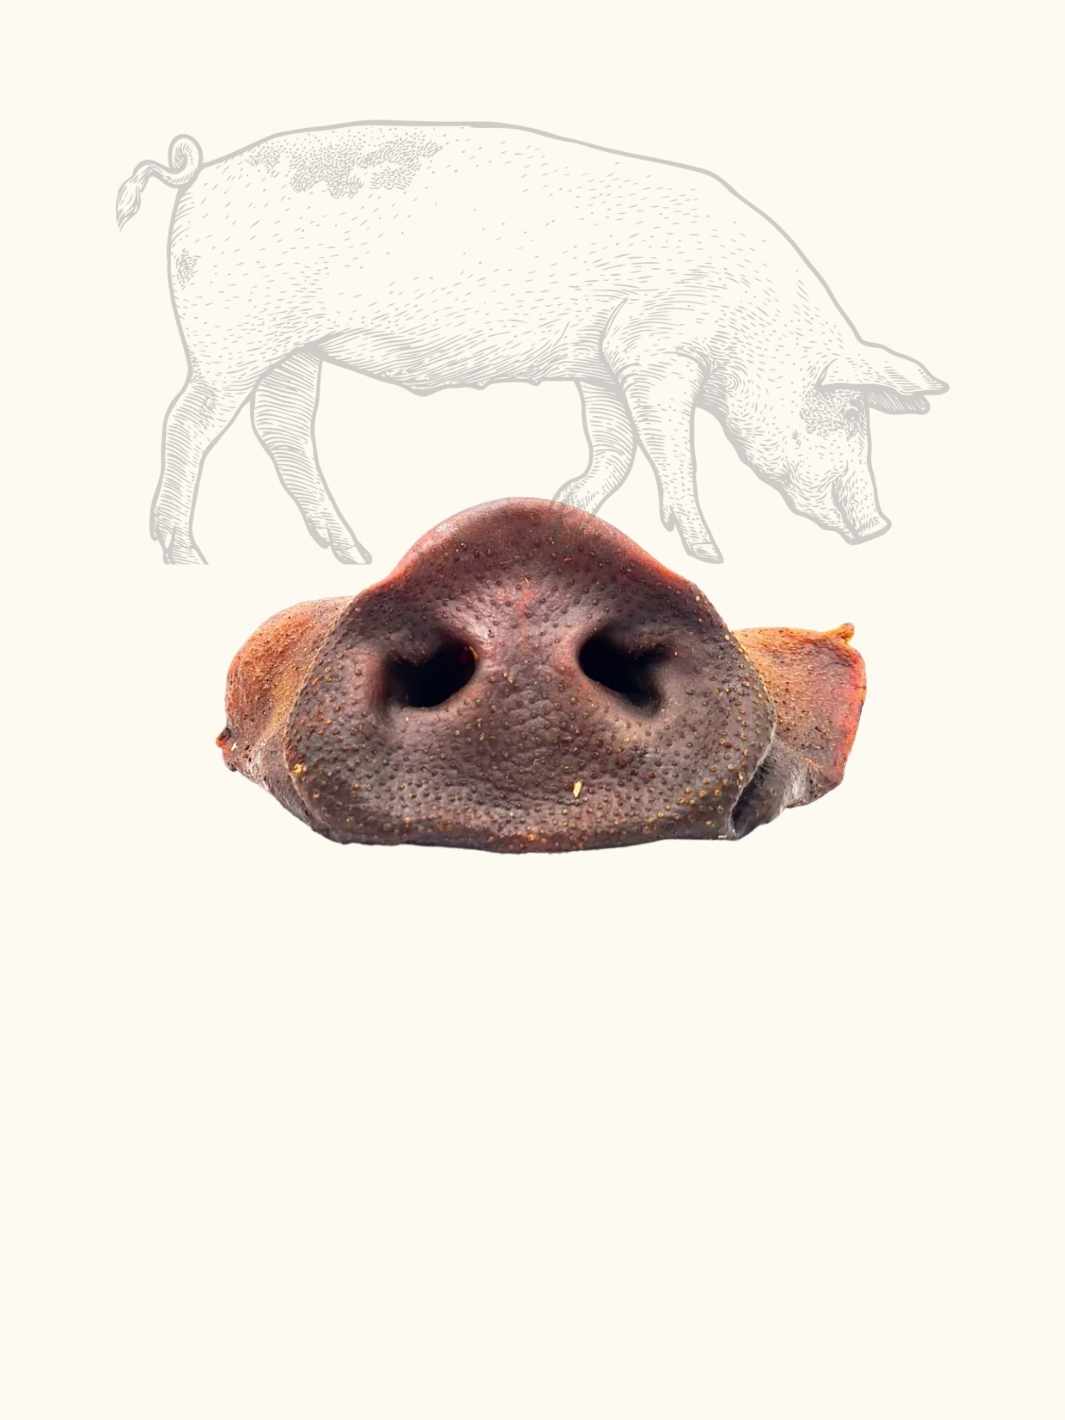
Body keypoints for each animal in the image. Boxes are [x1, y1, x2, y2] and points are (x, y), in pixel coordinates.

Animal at [116, 123, 947, 565]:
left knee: (281, 434)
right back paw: (185, 552)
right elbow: (671, 451)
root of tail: (198, 177)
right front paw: (710, 553)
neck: (749, 322)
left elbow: (614, 448)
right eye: (842, 412)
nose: (879, 525)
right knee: (187, 424)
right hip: (231, 340)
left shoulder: (604, 365)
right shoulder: (653, 352)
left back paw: (355, 553)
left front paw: (562, 511)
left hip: (294, 352)